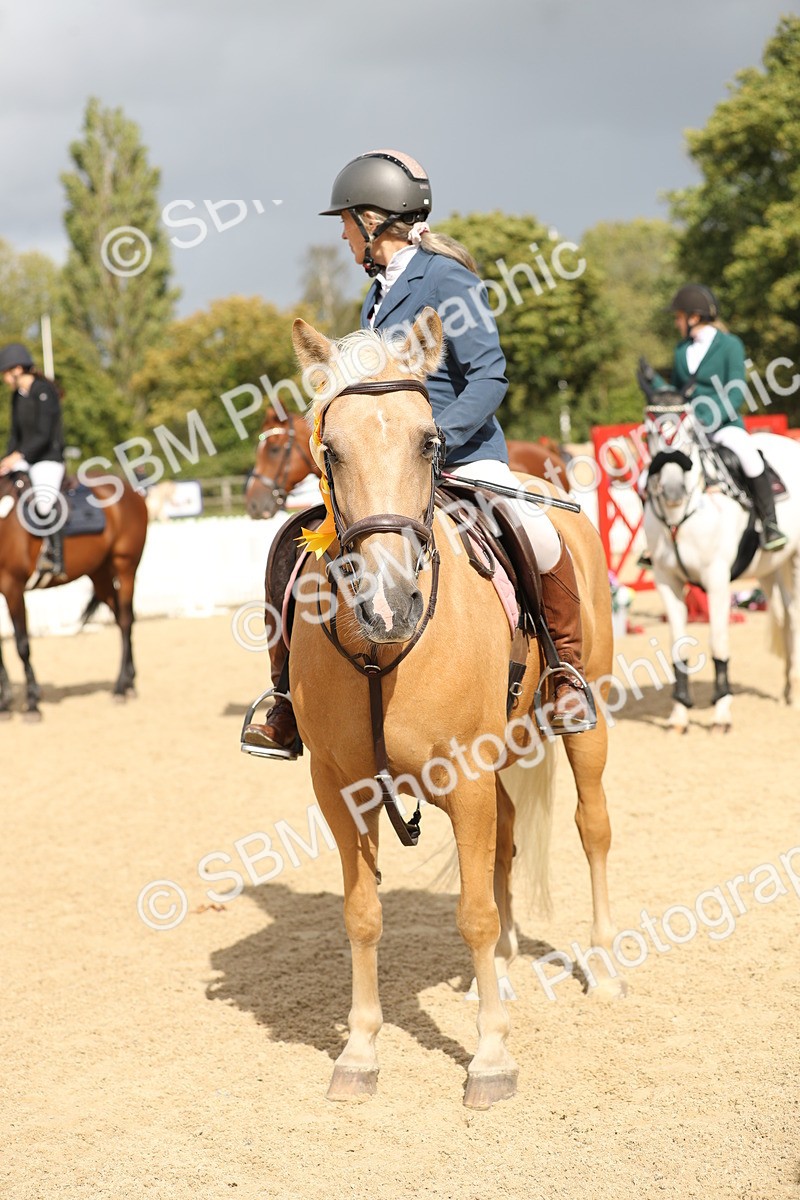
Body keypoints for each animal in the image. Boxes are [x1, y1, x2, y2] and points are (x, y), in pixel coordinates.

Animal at [0, 471, 148, 717]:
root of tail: (131, 490)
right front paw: (5, 702)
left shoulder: (13, 587)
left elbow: (22, 645)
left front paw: (32, 703)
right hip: (100, 573)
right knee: (121, 620)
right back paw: (129, 683)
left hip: (125, 566)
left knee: (127, 620)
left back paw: (119, 688)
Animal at [279, 309, 621, 1109]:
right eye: (329, 449)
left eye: (430, 441)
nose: (387, 603)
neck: (382, 652)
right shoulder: (340, 786)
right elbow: (363, 914)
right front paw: (360, 1052)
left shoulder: (464, 776)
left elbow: (473, 912)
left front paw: (490, 1058)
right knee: (507, 841)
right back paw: (495, 975)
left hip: (583, 720)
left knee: (591, 828)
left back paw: (602, 966)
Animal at [639, 392, 800, 731]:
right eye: (650, 431)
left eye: (688, 431)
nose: (673, 489)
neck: (680, 515)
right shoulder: (666, 581)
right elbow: (677, 643)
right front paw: (679, 712)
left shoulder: (716, 580)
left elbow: (718, 640)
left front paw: (721, 711)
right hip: (769, 568)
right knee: (784, 614)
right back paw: (788, 688)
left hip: (796, 560)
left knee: (794, 615)